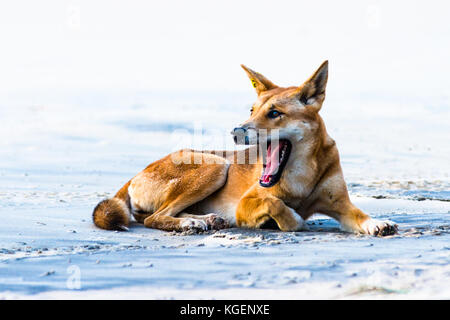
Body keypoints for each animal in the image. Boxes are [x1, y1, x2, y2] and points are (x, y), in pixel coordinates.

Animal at [92, 60, 398, 235]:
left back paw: (205, 219)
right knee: (154, 218)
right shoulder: (246, 203)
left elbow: (359, 215)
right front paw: (290, 220)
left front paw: (376, 223)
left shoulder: (341, 205)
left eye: (274, 113)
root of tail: (136, 174)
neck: (302, 173)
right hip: (215, 165)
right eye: (252, 110)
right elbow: (276, 203)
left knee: (155, 215)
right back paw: (190, 223)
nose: (236, 132)